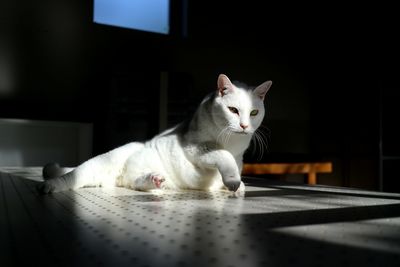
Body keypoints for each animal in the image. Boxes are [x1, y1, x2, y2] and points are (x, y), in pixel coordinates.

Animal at [36, 74, 272, 196]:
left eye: (253, 112)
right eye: (233, 110)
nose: (244, 126)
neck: (233, 142)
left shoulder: (239, 157)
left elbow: (235, 167)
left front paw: (237, 186)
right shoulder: (196, 147)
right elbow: (223, 155)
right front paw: (233, 181)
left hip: (132, 178)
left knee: (135, 183)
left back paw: (154, 179)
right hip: (96, 166)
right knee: (71, 177)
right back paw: (49, 186)